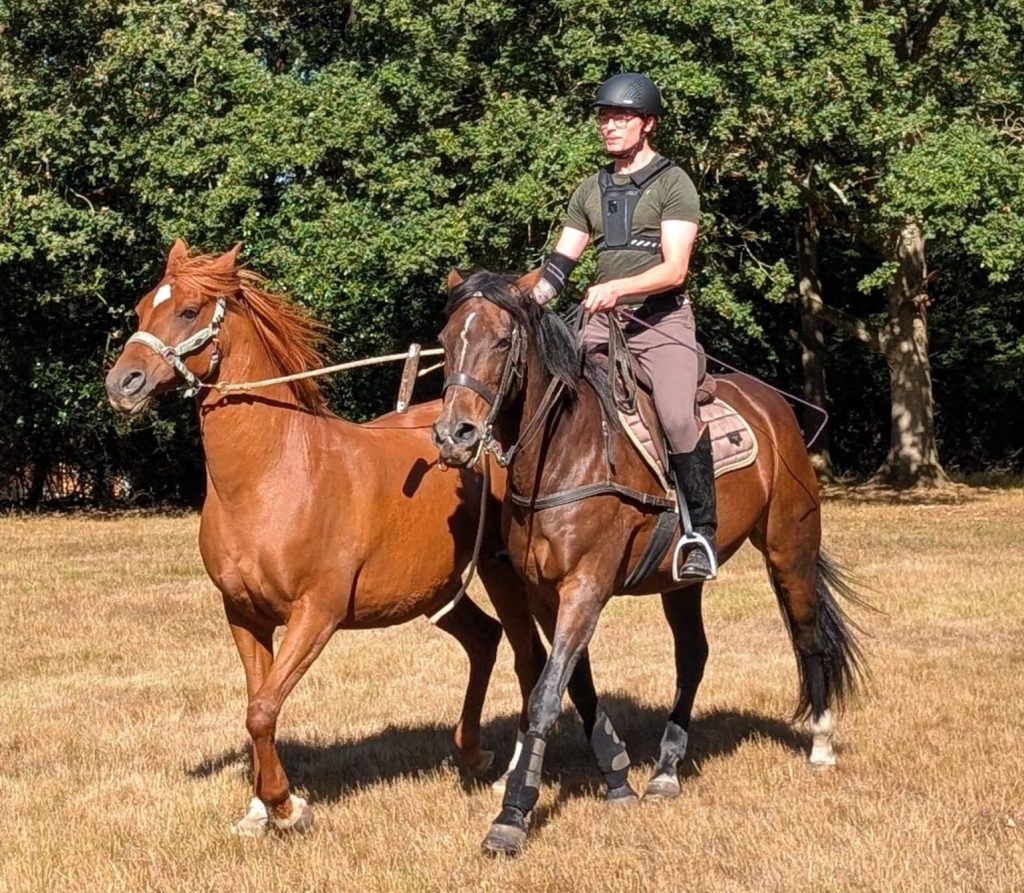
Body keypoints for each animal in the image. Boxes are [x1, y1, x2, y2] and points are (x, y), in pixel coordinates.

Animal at [105, 240, 560, 836]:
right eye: (140, 308)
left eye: (187, 310)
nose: (122, 384)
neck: (275, 475)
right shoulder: (243, 613)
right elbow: (257, 702)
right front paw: (258, 809)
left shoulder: (316, 613)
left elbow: (262, 709)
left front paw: (285, 805)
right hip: (431, 591)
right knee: (484, 639)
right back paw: (472, 752)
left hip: (500, 567)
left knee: (528, 656)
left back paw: (509, 772)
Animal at [432, 269, 868, 856]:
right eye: (445, 337)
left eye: (503, 341)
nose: (453, 436)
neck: (566, 452)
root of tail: (774, 408)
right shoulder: (546, 593)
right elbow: (572, 682)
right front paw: (616, 777)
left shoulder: (587, 586)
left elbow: (547, 692)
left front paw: (513, 814)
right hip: (682, 583)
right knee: (693, 656)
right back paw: (666, 769)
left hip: (789, 548)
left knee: (809, 637)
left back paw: (820, 743)